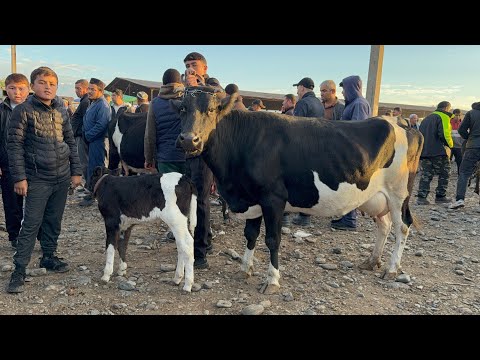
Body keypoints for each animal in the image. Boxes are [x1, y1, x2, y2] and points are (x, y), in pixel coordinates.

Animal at [175, 87, 424, 296]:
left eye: (210, 110)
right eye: (182, 109)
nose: (188, 140)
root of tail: (402, 123)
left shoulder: (273, 198)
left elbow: (272, 240)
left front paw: (272, 280)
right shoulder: (252, 198)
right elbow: (250, 235)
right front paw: (245, 269)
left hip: (398, 193)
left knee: (402, 227)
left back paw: (392, 269)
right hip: (375, 197)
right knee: (384, 225)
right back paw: (372, 261)